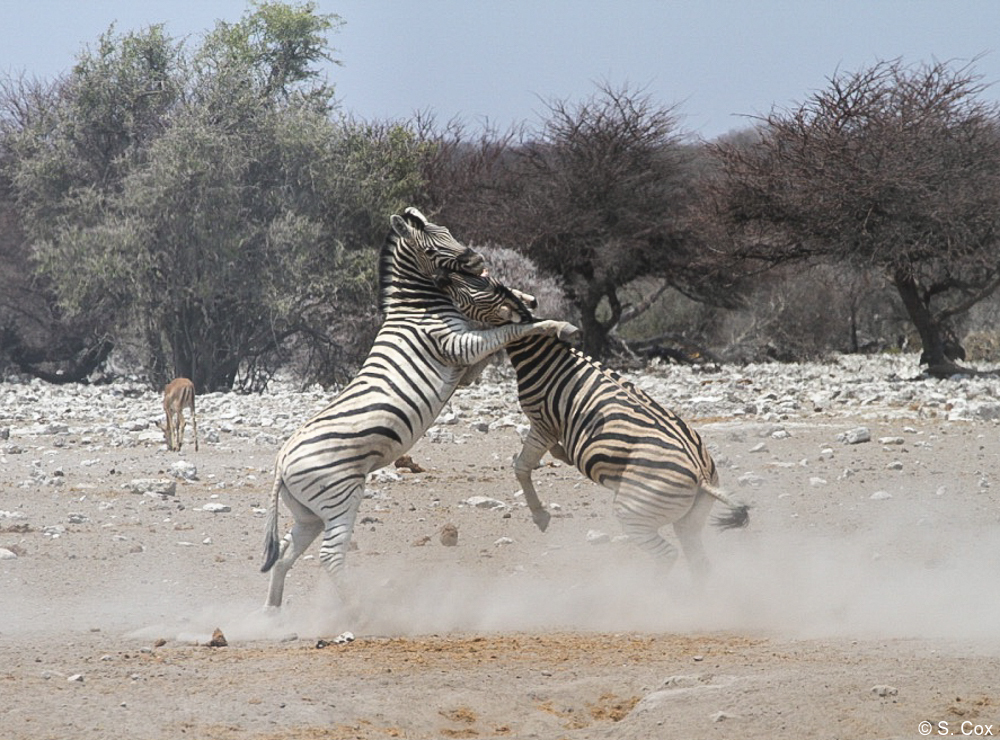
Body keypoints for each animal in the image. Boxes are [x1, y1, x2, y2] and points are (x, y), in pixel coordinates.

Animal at [260, 208, 580, 608]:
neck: (419, 309)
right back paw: (361, 612)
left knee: (285, 554)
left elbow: (497, 338)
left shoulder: (465, 368)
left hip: (310, 514)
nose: (478, 259)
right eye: (431, 246)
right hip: (340, 497)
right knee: (329, 557)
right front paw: (559, 324)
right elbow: (506, 333)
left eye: (448, 231)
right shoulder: (457, 345)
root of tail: (280, 463)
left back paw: (271, 613)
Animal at [436, 280, 744, 580]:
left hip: (635, 512)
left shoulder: (543, 422)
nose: (442, 281)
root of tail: (701, 473)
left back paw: (650, 591)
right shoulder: (552, 425)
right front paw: (562, 456)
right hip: (688, 521)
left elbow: (522, 467)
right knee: (699, 562)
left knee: (667, 555)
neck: (540, 355)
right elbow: (547, 454)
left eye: (476, 289)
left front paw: (540, 516)